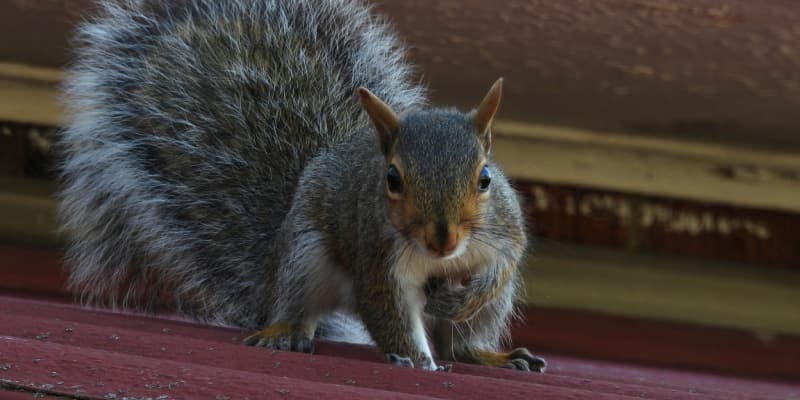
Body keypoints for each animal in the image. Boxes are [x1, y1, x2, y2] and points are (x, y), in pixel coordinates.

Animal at [58, 0, 546, 372]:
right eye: (392, 179)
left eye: (485, 178)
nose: (442, 240)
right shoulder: (377, 262)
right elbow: (389, 315)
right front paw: (414, 360)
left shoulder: (504, 232)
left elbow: (505, 263)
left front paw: (468, 298)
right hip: (303, 257)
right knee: (298, 305)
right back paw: (284, 331)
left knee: (461, 343)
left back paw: (493, 355)